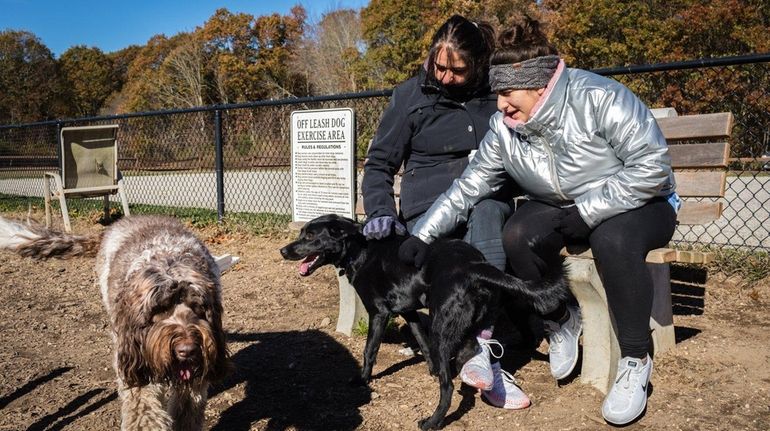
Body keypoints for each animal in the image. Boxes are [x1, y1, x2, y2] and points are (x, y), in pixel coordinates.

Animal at [0, 216, 228, 431]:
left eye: (198, 308)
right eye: (160, 309)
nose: (187, 350)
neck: (167, 256)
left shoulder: (195, 381)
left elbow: (187, 413)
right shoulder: (137, 369)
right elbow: (144, 415)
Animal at [280, 214, 568, 430]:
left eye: (309, 236)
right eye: (302, 232)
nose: (282, 250)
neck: (360, 249)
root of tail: (474, 266)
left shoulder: (379, 313)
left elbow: (369, 350)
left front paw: (362, 379)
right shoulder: (409, 313)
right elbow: (423, 343)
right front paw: (432, 369)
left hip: (442, 324)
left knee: (448, 388)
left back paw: (433, 420)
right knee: (469, 351)